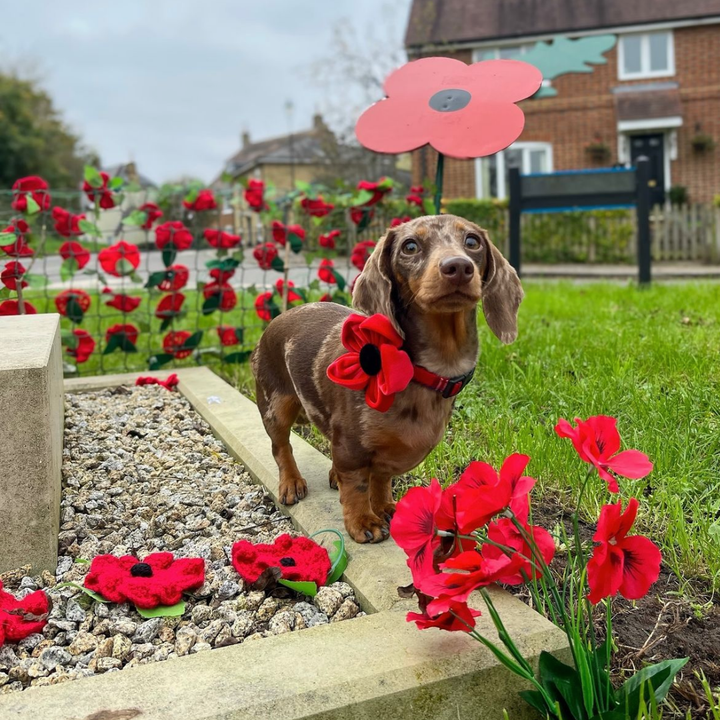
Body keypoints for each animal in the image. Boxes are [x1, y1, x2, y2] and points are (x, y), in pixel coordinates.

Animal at [250, 217, 520, 544]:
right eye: (410, 246)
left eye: (472, 241)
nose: (458, 266)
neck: (424, 370)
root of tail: (276, 319)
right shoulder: (351, 445)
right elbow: (356, 484)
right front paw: (363, 521)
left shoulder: (386, 454)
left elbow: (380, 477)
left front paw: (384, 507)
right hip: (275, 406)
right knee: (281, 447)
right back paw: (291, 482)